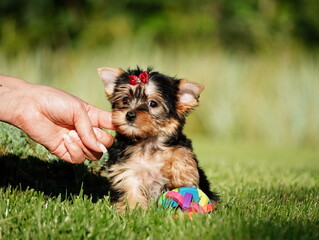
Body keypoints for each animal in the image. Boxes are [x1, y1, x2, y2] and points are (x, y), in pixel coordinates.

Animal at [97, 66, 219, 211]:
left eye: (153, 103)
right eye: (125, 100)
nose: (130, 115)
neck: (147, 141)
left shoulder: (179, 143)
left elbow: (181, 151)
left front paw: (182, 176)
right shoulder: (125, 169)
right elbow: (130, 189)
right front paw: (133, 211)